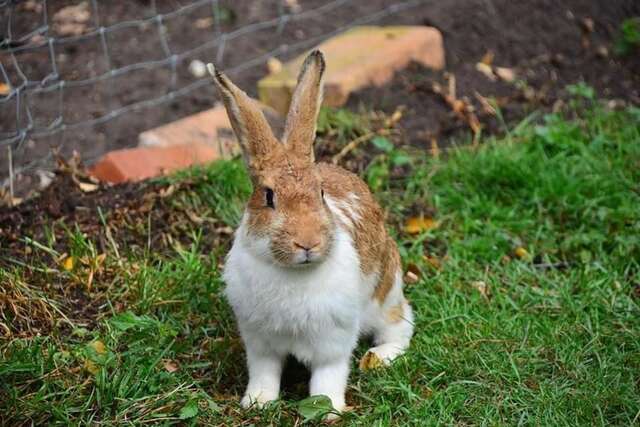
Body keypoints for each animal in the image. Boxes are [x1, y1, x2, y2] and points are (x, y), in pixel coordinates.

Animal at [208, 49, 412, 414]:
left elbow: (329, 374)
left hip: (386, 291)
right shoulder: (259, 342)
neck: (292, 273)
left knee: (400, 325)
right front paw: (257, 402)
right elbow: (264, 372)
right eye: (268, 197)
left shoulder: (333, 341)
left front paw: (328, 409)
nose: (307, 242)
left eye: (320, 193)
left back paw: (378, 357)